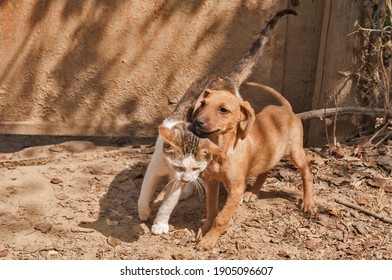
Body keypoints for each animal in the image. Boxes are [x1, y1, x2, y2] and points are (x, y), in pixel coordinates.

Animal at [191, 82, 314, 250]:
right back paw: (253, 193)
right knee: (265, 171)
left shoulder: (235, 188)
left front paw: (209, 239)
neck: (221, 151)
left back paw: (308, 202)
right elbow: (211, 208)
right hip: (269, 153)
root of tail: (286, 109)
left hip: (296, 153)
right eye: (203, 104)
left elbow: (222, 218)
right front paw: (204, 230)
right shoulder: (212, 181)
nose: (197, 122)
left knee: (307, 173)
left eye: (223, 110)